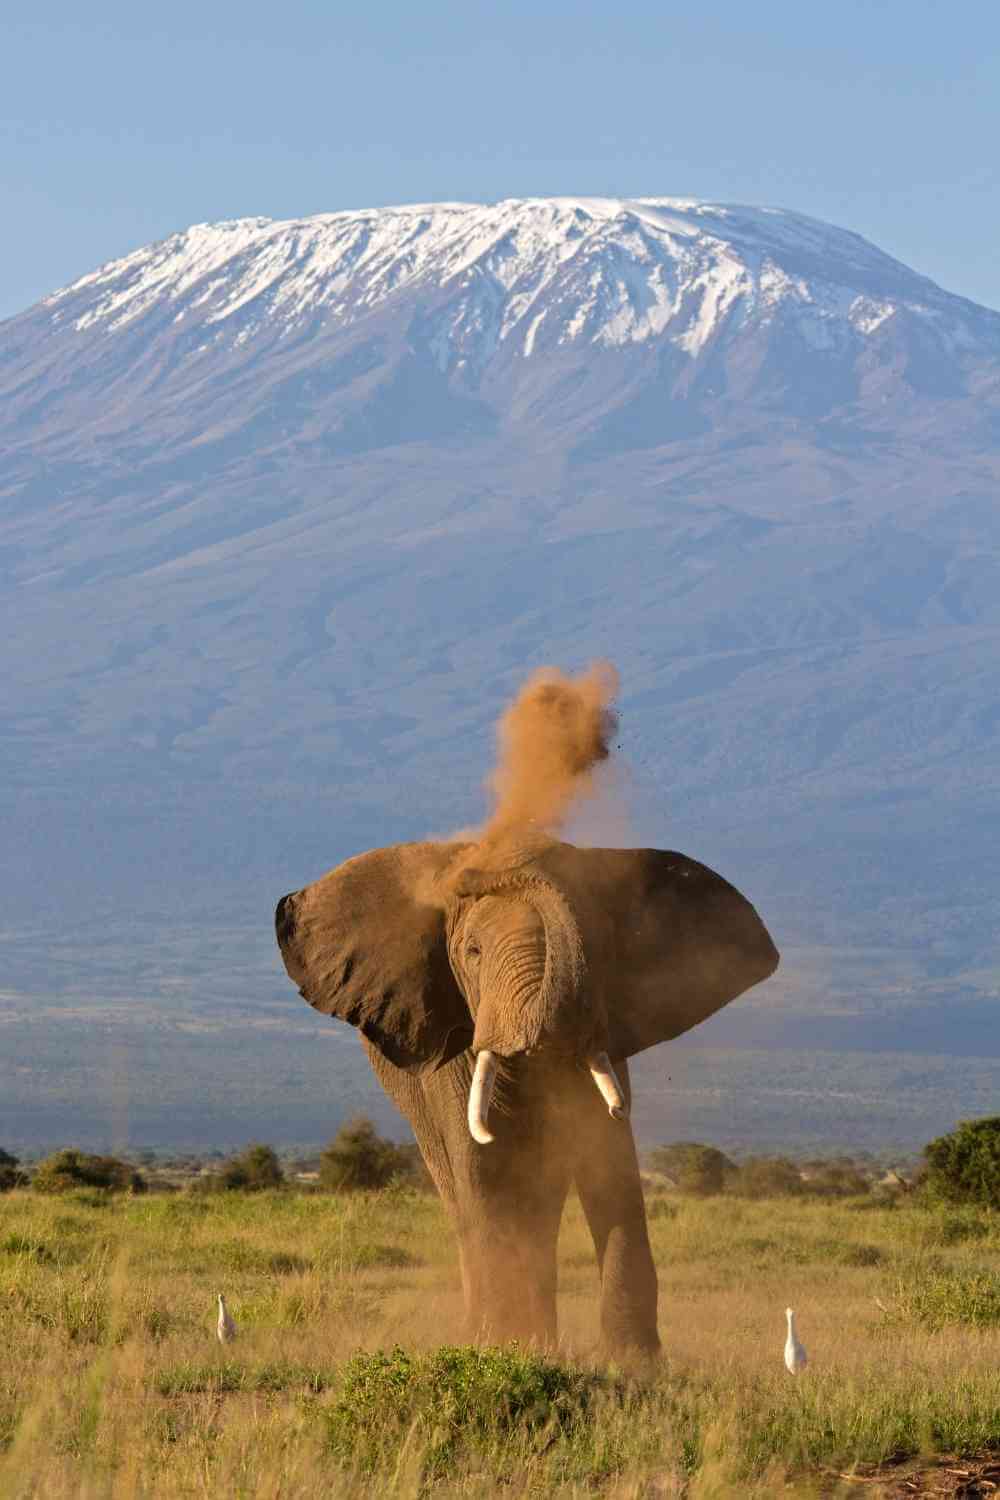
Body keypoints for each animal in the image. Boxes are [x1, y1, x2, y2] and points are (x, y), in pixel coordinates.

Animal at [275, 828, 778, 1357]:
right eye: (473, 952)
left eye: (598, 950)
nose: (488, 872)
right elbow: (483, 1166)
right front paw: (504, 1350)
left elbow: (609, 1159)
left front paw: (633, 1366)